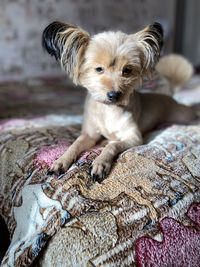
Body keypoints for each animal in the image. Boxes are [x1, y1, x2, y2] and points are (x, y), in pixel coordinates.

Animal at [41, 22, 195, 183]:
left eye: (127, 70)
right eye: (99, 69)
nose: (114, 95)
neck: (109, 110)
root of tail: (169, 96)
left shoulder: (134, 138)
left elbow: (113, 145)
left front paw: (100, 162)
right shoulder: (89, 135)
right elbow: (75, 144)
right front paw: (61, 160)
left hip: (183, 115)